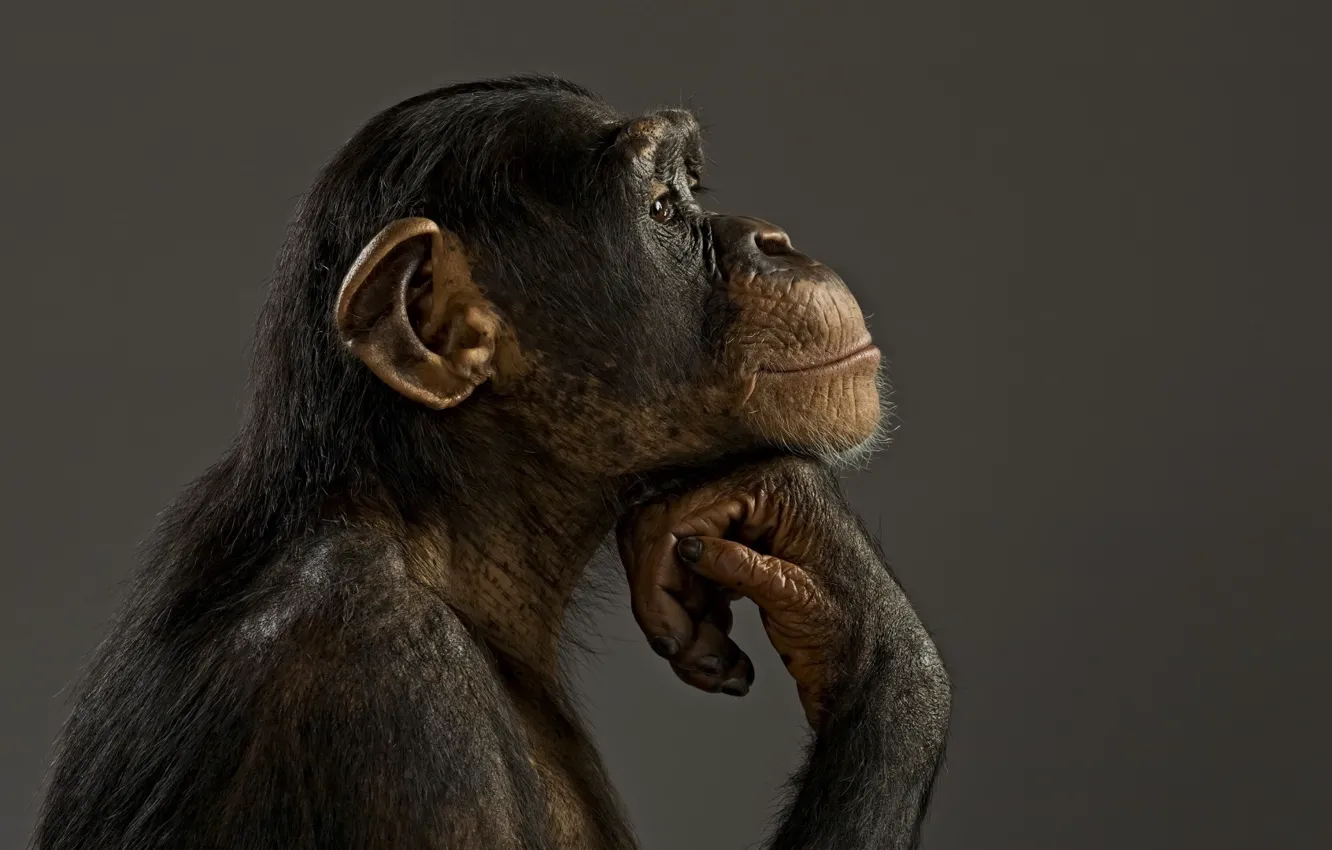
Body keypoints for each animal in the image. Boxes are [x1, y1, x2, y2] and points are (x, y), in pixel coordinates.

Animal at [31, 74, 950, 849]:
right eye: (660, 207)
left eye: (691, 189)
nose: (775, 239)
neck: (434, 528)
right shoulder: (392, 703)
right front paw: (856, 602)